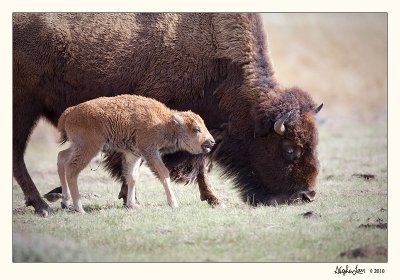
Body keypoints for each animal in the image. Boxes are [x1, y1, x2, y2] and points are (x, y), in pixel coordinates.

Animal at [56, 94, 216, 212]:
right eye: (196, 129)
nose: (212, 141)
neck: (165, 122)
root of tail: (70, 112)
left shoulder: (133, 154)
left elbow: (132, 177)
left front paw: (132, 204)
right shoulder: (150, 152)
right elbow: (163, 173)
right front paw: (174, 203)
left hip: (77, 146)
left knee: (61, 158)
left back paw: (65, 201)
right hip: (89, 148)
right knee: (72, 170)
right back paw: (79, 208)